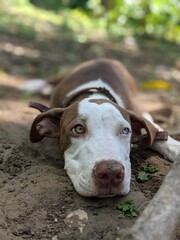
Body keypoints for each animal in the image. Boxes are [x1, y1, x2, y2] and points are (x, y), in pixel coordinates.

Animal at [20, 58, 180, 197]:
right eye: (78, 129)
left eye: (125, 130)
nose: (111, 173)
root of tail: (105, 59)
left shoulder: (140, 112)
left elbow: (156, 131)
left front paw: (175, 147)